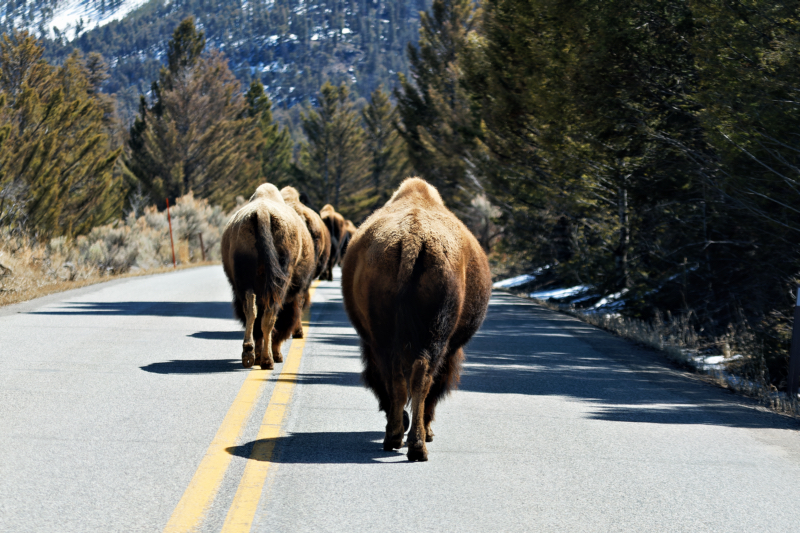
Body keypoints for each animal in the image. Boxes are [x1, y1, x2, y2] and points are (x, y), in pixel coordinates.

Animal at [223, 183, 318, 370]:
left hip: (245, 281)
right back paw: (268, 360)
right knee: (270, 315)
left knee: (251, 311)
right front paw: (276, 354)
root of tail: (262, 213)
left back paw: (249, 354)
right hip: (279, 284)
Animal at [340, 177, 490, 460]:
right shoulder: (451, 349)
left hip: (388, 337)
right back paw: (411, 441)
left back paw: (403, 440)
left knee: (402, 376)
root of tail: (413, 238)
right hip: (428, 336)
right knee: (418, 377)